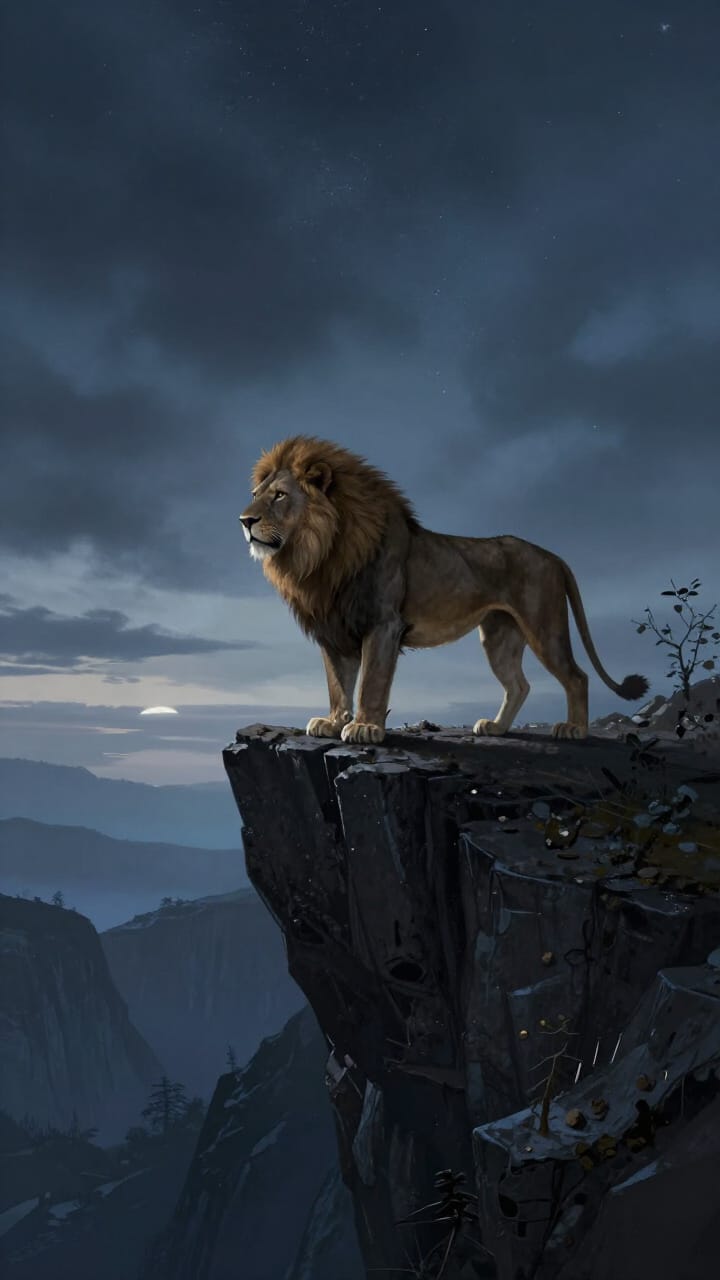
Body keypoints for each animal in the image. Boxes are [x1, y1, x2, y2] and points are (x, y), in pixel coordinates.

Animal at [239, 436, 648, 745]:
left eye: (279, 495)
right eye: (256, 492)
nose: (244, 520)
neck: (320, 555)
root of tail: (553, 555)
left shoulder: (383, 624)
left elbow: (370, 681)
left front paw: (365, 727)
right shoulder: (334, 627)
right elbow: (338, 683)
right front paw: (333, 721)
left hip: (544, 626)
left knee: (576, 676)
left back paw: (574, 728)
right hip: (499, 636)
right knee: (519, 684)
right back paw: (496, 728)